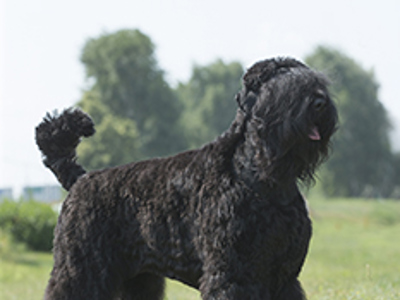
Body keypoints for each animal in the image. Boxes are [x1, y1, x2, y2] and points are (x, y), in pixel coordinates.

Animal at [36, 57, 338, 298]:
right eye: (282, 88)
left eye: (317, 82)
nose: (320, 102)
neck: (264, 178)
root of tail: (80, 180)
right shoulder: (232, 276)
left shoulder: (284, 277)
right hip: (79, 270)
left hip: (141, 277)